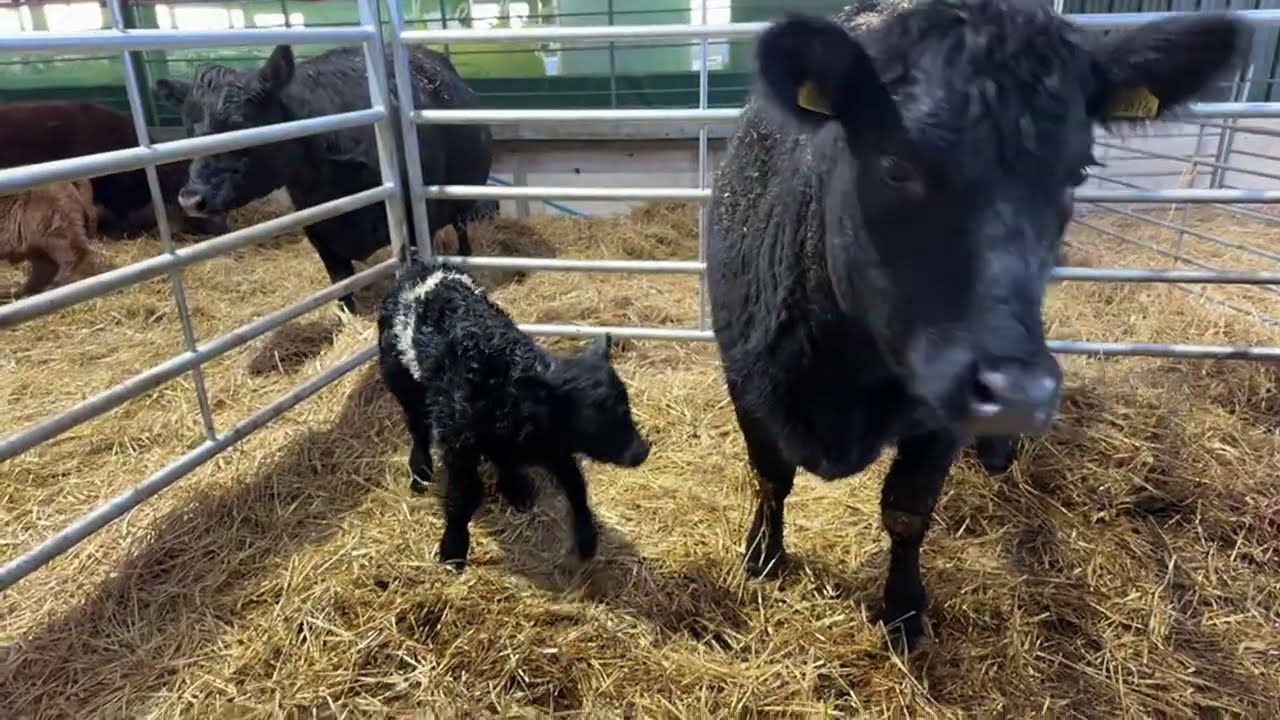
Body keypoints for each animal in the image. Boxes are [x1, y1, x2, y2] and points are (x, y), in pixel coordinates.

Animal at [153, 44, 496, 314]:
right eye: (188, 130)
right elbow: (341, 287)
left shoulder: (412, 223)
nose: (191, 198)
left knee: (462, 229)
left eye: (240, 125)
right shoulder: (318, 231)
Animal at [705, 0, 1250, 652]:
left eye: (1077, 172)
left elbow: (907, 511)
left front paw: (905, 612)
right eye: (896, 165)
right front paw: (762, 556)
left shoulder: (940, 418)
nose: (1019, 393)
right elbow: (770, 477)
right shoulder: (745, 374)